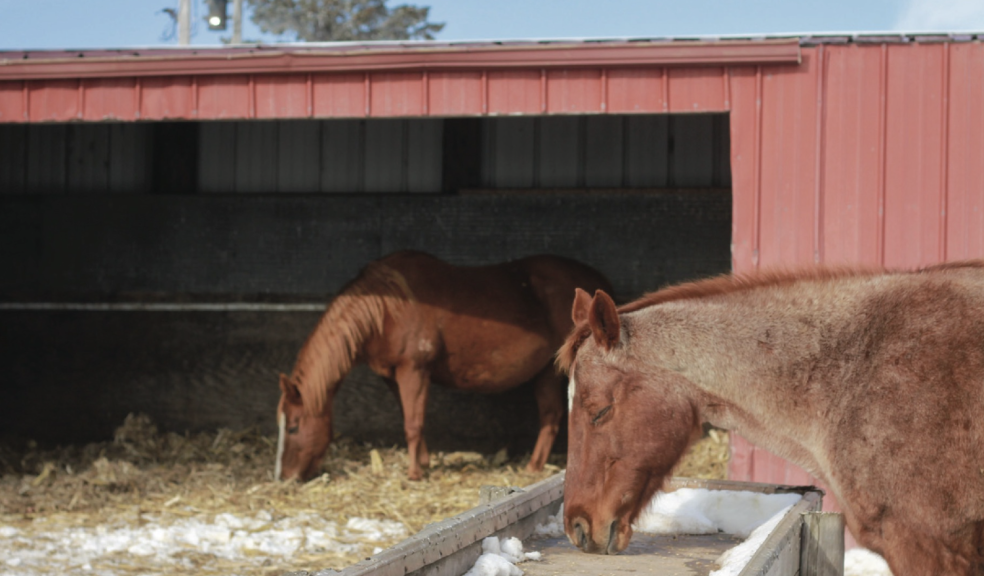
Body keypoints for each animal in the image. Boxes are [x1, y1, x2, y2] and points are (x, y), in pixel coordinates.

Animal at [275, 250, 613, 482]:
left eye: (293, 427)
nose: (284, 477)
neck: (387, 308)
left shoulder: (414, 370)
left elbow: (413, 424)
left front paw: (414, 474)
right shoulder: (393, 376)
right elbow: (410, 419)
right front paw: (423, 464)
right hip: (545, 372)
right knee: (552, 417)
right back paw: (534, 467)